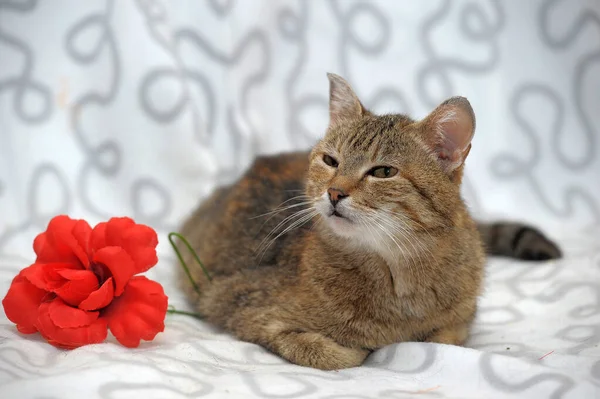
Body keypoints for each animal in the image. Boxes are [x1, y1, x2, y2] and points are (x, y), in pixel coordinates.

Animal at [176, 73, 560, 370]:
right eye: (331, 161)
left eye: (383, 172)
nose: (334, 192)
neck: (396, 272)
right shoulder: (233, 300)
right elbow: (330, 353)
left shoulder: (461, 318)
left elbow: (447, 336)